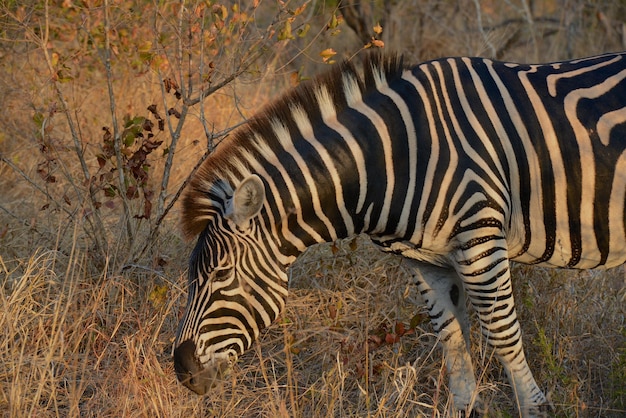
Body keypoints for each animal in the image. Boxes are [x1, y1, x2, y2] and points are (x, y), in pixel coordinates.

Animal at [173, 50, 624, 416]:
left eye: (220, 275)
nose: (182, 371)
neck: (393, 158)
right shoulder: (425, 261)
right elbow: (451, 341)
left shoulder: (480, 238)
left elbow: (503, 335)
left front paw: (536, 407)